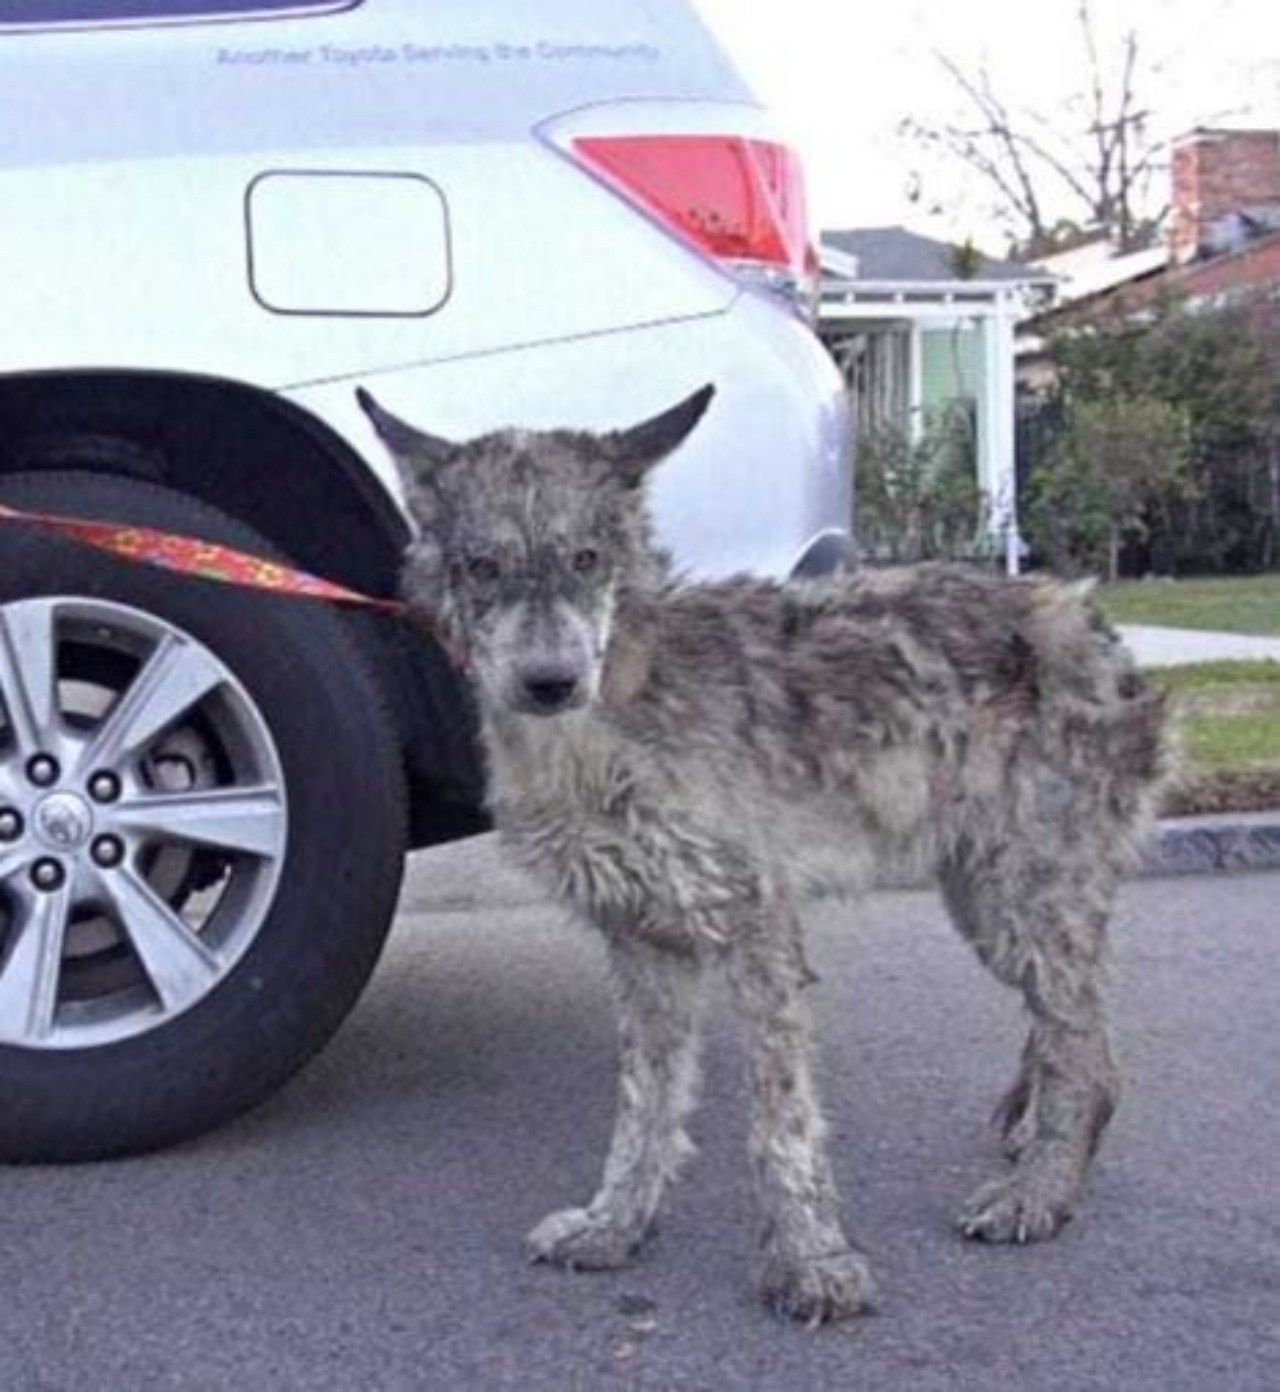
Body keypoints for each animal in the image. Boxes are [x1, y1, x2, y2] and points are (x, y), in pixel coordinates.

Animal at [354, 384, 1163, 1325]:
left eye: (588, 558)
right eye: (482, 566)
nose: (551, 682)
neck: (609, 725)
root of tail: (1094, 622)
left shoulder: (758, 932)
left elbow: (780, 1120)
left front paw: (813, 1263)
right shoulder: (643, 945)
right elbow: (646, 1108)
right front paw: (616, 1226)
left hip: (1021, 902)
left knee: (1088, 1054)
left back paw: (1038, 1193)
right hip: (989, 905)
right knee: (1076, 1033)